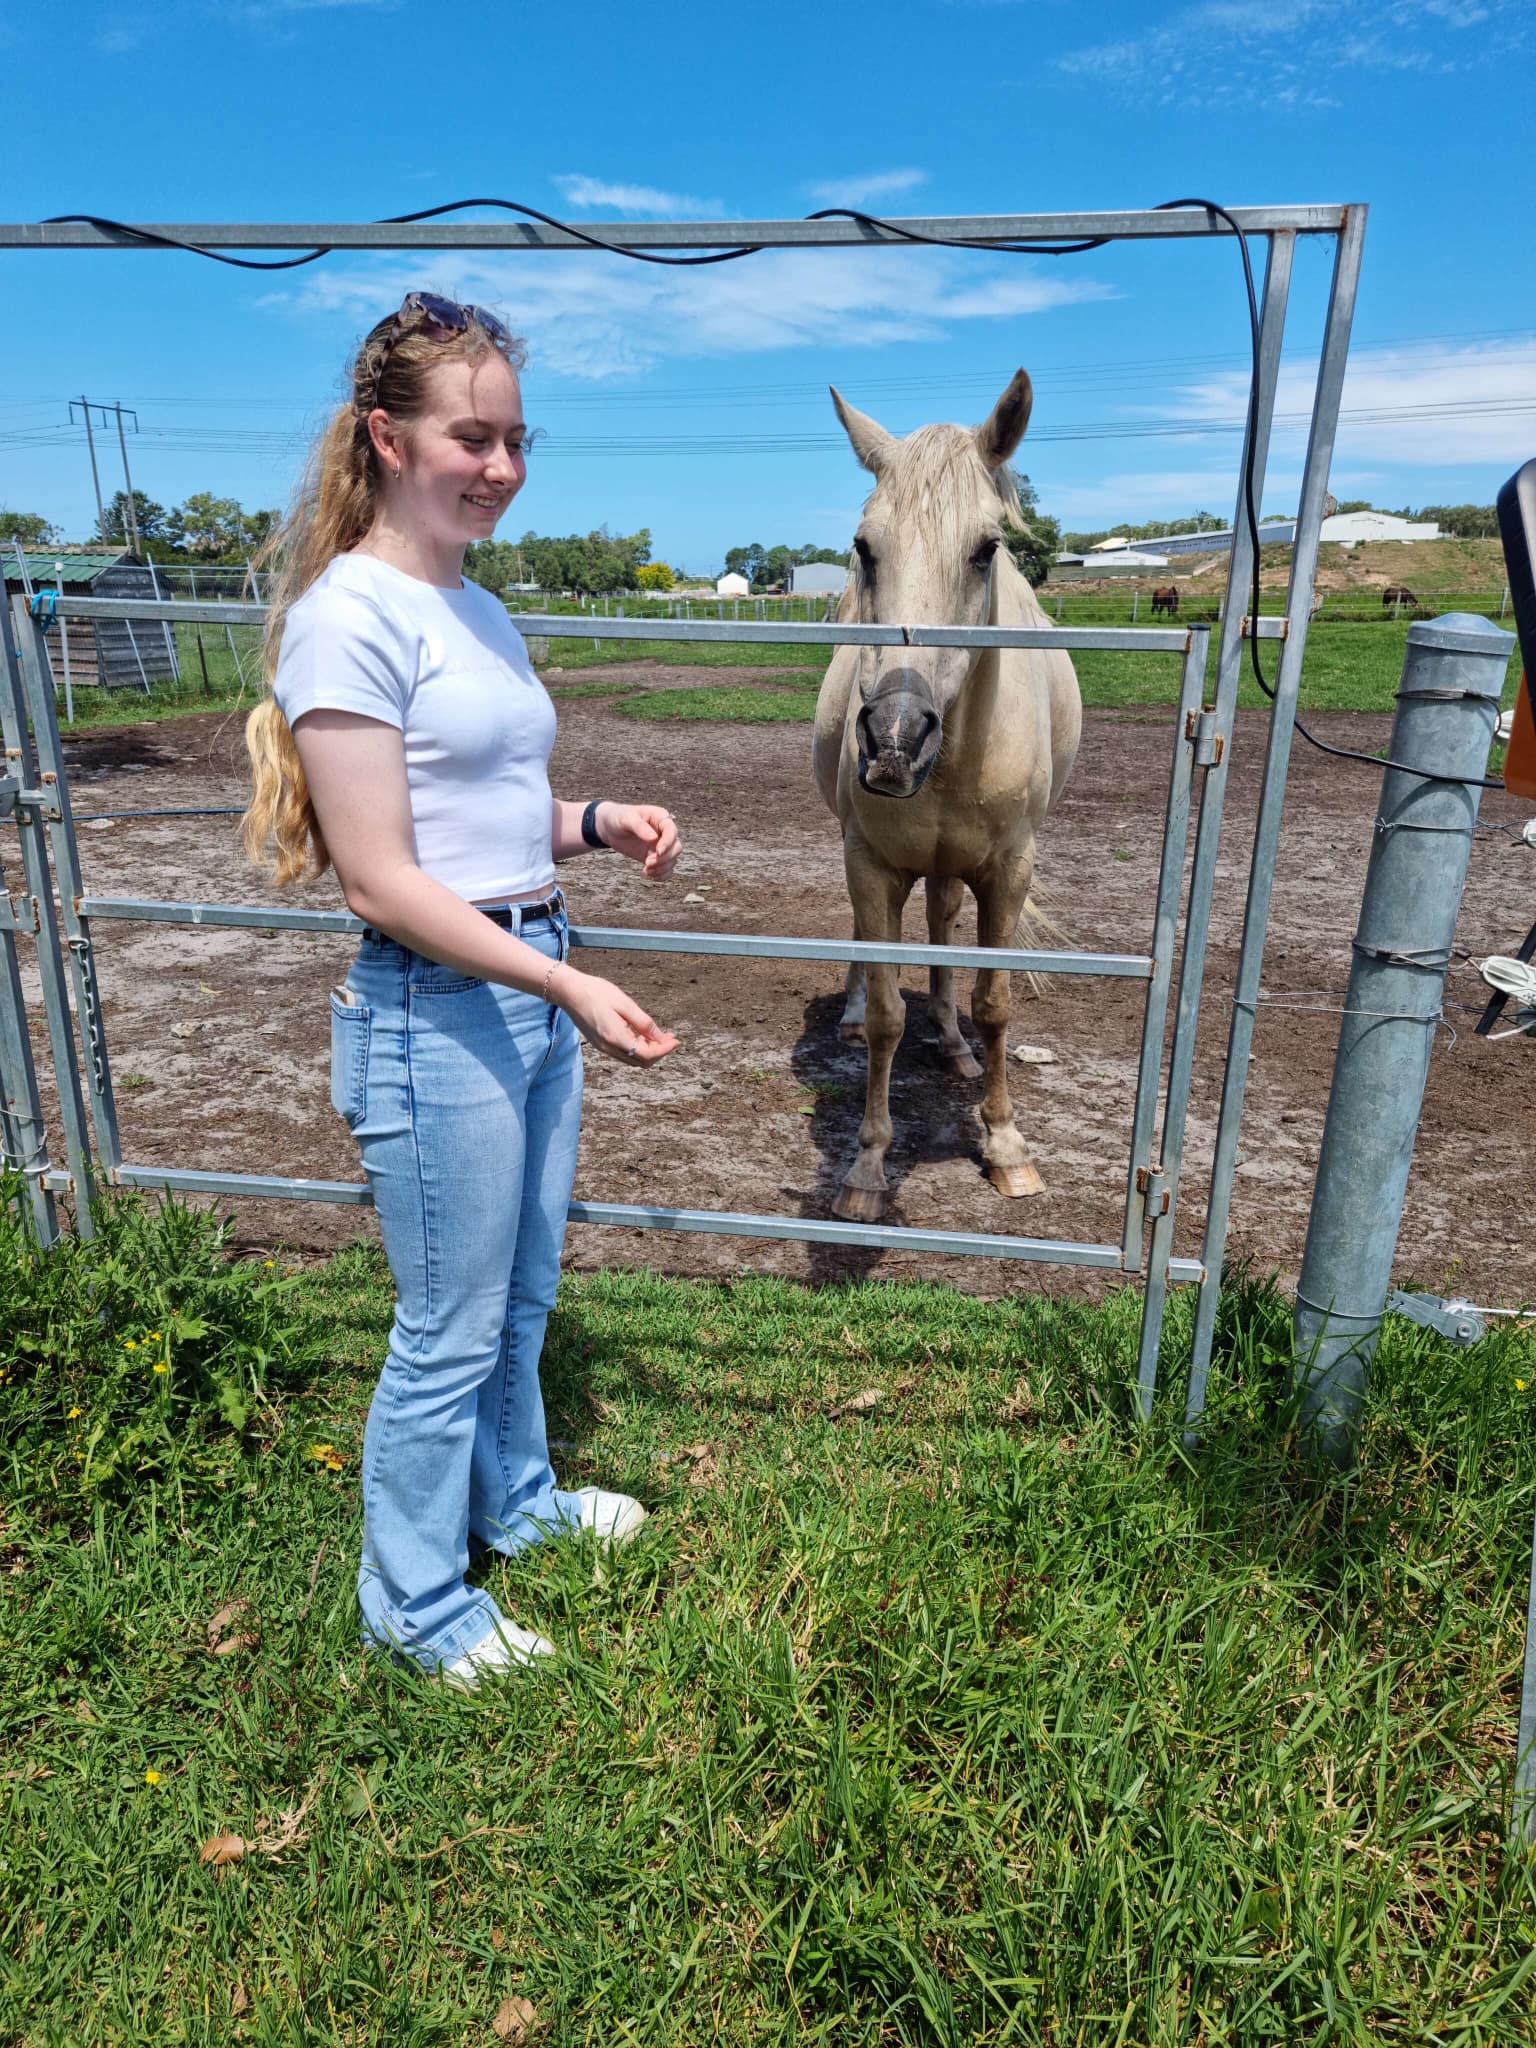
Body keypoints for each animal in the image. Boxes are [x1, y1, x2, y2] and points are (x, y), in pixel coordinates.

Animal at [812, 370, 1082, 1223]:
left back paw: (956, 1047)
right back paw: (858, 1014)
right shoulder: (867, 862)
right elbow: (887, 1014)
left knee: (941, 924)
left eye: (985, 549)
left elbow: (994, 1004)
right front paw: (867, 1165)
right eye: (864, 547)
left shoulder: (1009, 870)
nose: (895, 737)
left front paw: (1006, 1147)